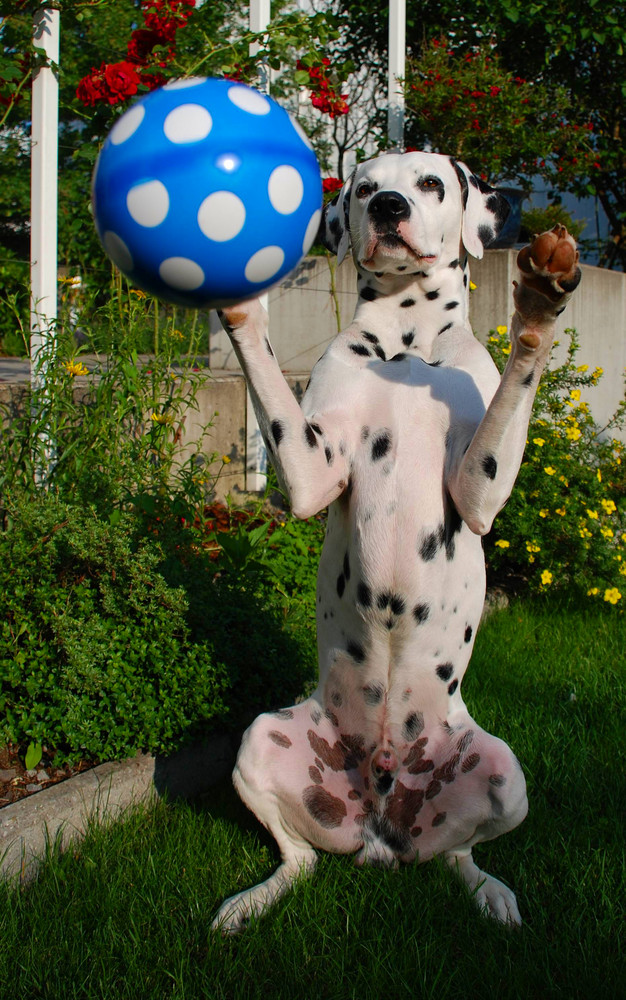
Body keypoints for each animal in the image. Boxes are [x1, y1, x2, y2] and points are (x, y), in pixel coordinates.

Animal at [211, 152, 580, 932]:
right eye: (362, 185)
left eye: (432, 182)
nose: (386, 206)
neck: (407, 346)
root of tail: (381, 827)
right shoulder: (311, 473)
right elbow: (268, 380)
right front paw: (239, 304)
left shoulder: (480, 489)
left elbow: (516, 381)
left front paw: (539, 304)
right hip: (259, 743)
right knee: (299, 858)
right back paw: (255, 900)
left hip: (505, 777)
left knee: (458, 855)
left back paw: (489, 892)